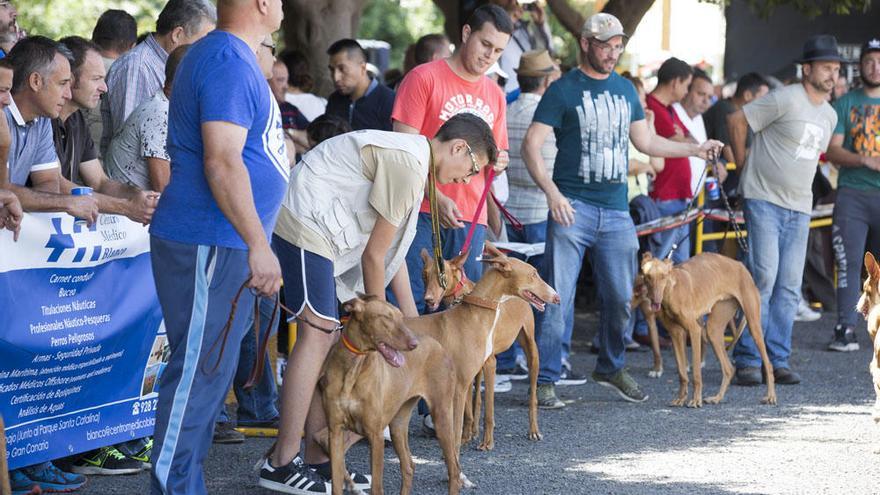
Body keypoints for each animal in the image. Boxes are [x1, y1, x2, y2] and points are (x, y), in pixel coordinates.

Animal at [640, 254, 776, 408]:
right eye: (648, 277)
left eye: (663, 276)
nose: (655, 301)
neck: (672, 290)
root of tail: (741, 265)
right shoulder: (676, 334)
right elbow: (682, 373)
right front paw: (681, 398)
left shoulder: (695, 331)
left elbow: (696, 373)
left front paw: (696, 400)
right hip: (713, 330)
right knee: (729, 369)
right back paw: (717, 398)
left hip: (753, 326)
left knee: (768, 364)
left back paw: (771, 396)